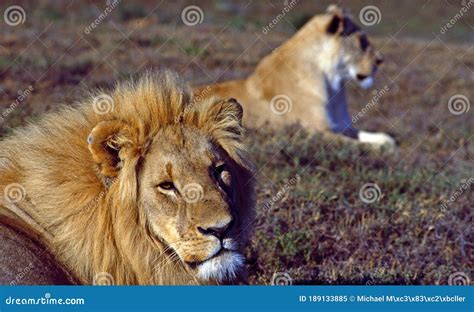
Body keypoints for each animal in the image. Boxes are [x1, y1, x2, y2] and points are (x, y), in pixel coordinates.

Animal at [195, 4, 396, 148]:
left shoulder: (343, 127)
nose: (381, 60)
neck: (334, 86)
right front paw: (386, 148)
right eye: (362, 42)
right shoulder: (313, 131)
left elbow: (369, 136)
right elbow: (360, 145)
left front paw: (386, 139)